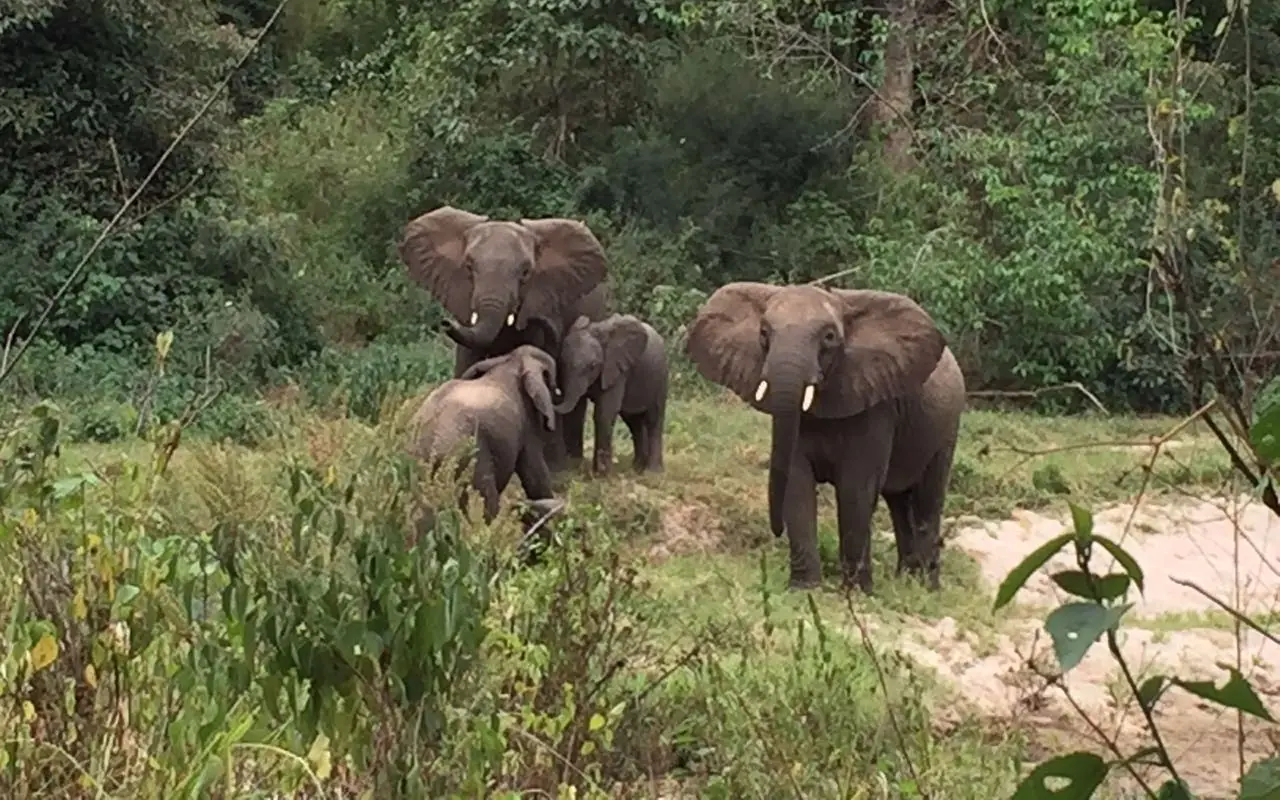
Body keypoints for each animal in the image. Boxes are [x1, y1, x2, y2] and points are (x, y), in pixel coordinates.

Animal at [396, 205, 611, 471]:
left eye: (526, 273)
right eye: (469, 267)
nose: (445, 322)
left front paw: (552, 466)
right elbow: (468, 358)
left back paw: (570, 462)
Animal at [553, 314, 669, 475]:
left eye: (593, 366)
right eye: (561, 362)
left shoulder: (617, 370)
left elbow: (604, 413)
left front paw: (602, 475)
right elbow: (577, 407)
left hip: (660, 377)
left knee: (654, 418)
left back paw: (652, 472)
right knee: (634, 422)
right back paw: (637, 467)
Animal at [685, 282, 965, 593]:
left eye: (829, 337)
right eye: (763, 333)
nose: (775, 531)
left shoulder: (875, 404)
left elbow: (856, 488)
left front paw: (856, 593)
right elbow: (797, 483)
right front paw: (804, 590)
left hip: (947, 426)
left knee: (928, 499)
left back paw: (926, 588)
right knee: (899, 503)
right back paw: (906, 581)